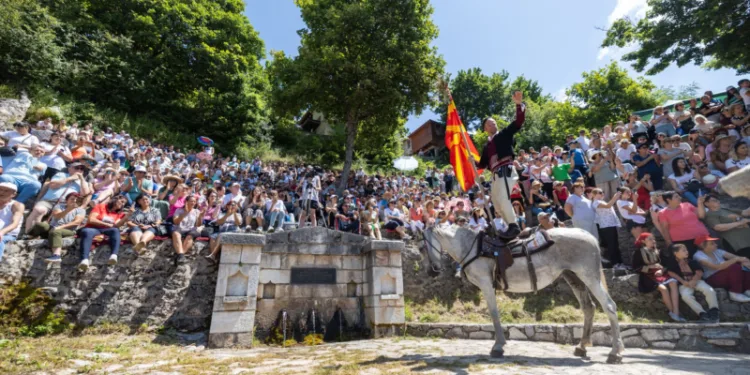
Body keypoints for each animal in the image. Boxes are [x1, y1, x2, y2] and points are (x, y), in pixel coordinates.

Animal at [426, 225, 624, 366]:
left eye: (424, 245)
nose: (431, 271)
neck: (474, 248)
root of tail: (588, 234)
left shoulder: (486, 284)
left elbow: (493, 313)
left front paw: (498, 346)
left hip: (589, 276)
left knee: (609, 306)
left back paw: (615, 353)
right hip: (574, 277)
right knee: (588, 307)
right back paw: (582, 347)